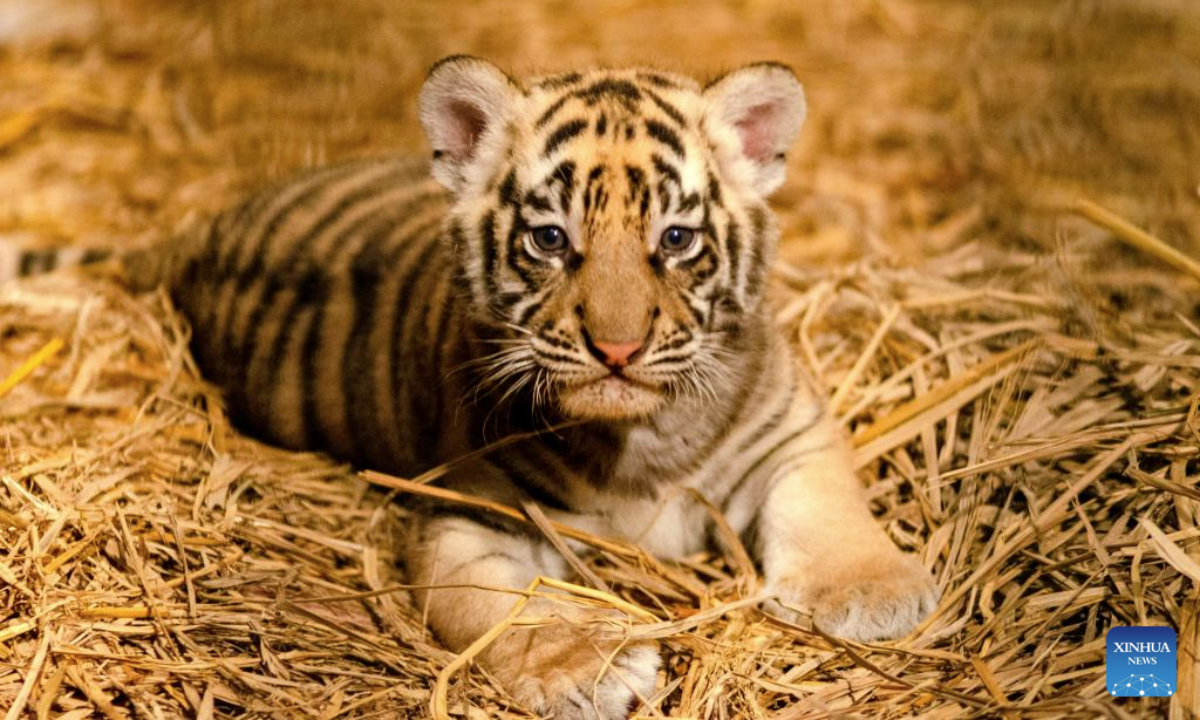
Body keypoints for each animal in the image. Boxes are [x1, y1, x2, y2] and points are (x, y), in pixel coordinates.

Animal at [2, 57, 939, 719]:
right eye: (551, 239)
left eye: (675, 239)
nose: (618, 348)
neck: (639, 438)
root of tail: (197, 233)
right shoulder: (468, 517)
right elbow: (510, 604)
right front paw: (588, 665)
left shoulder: (793, 431)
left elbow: (825, 503)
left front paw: (874, 594)